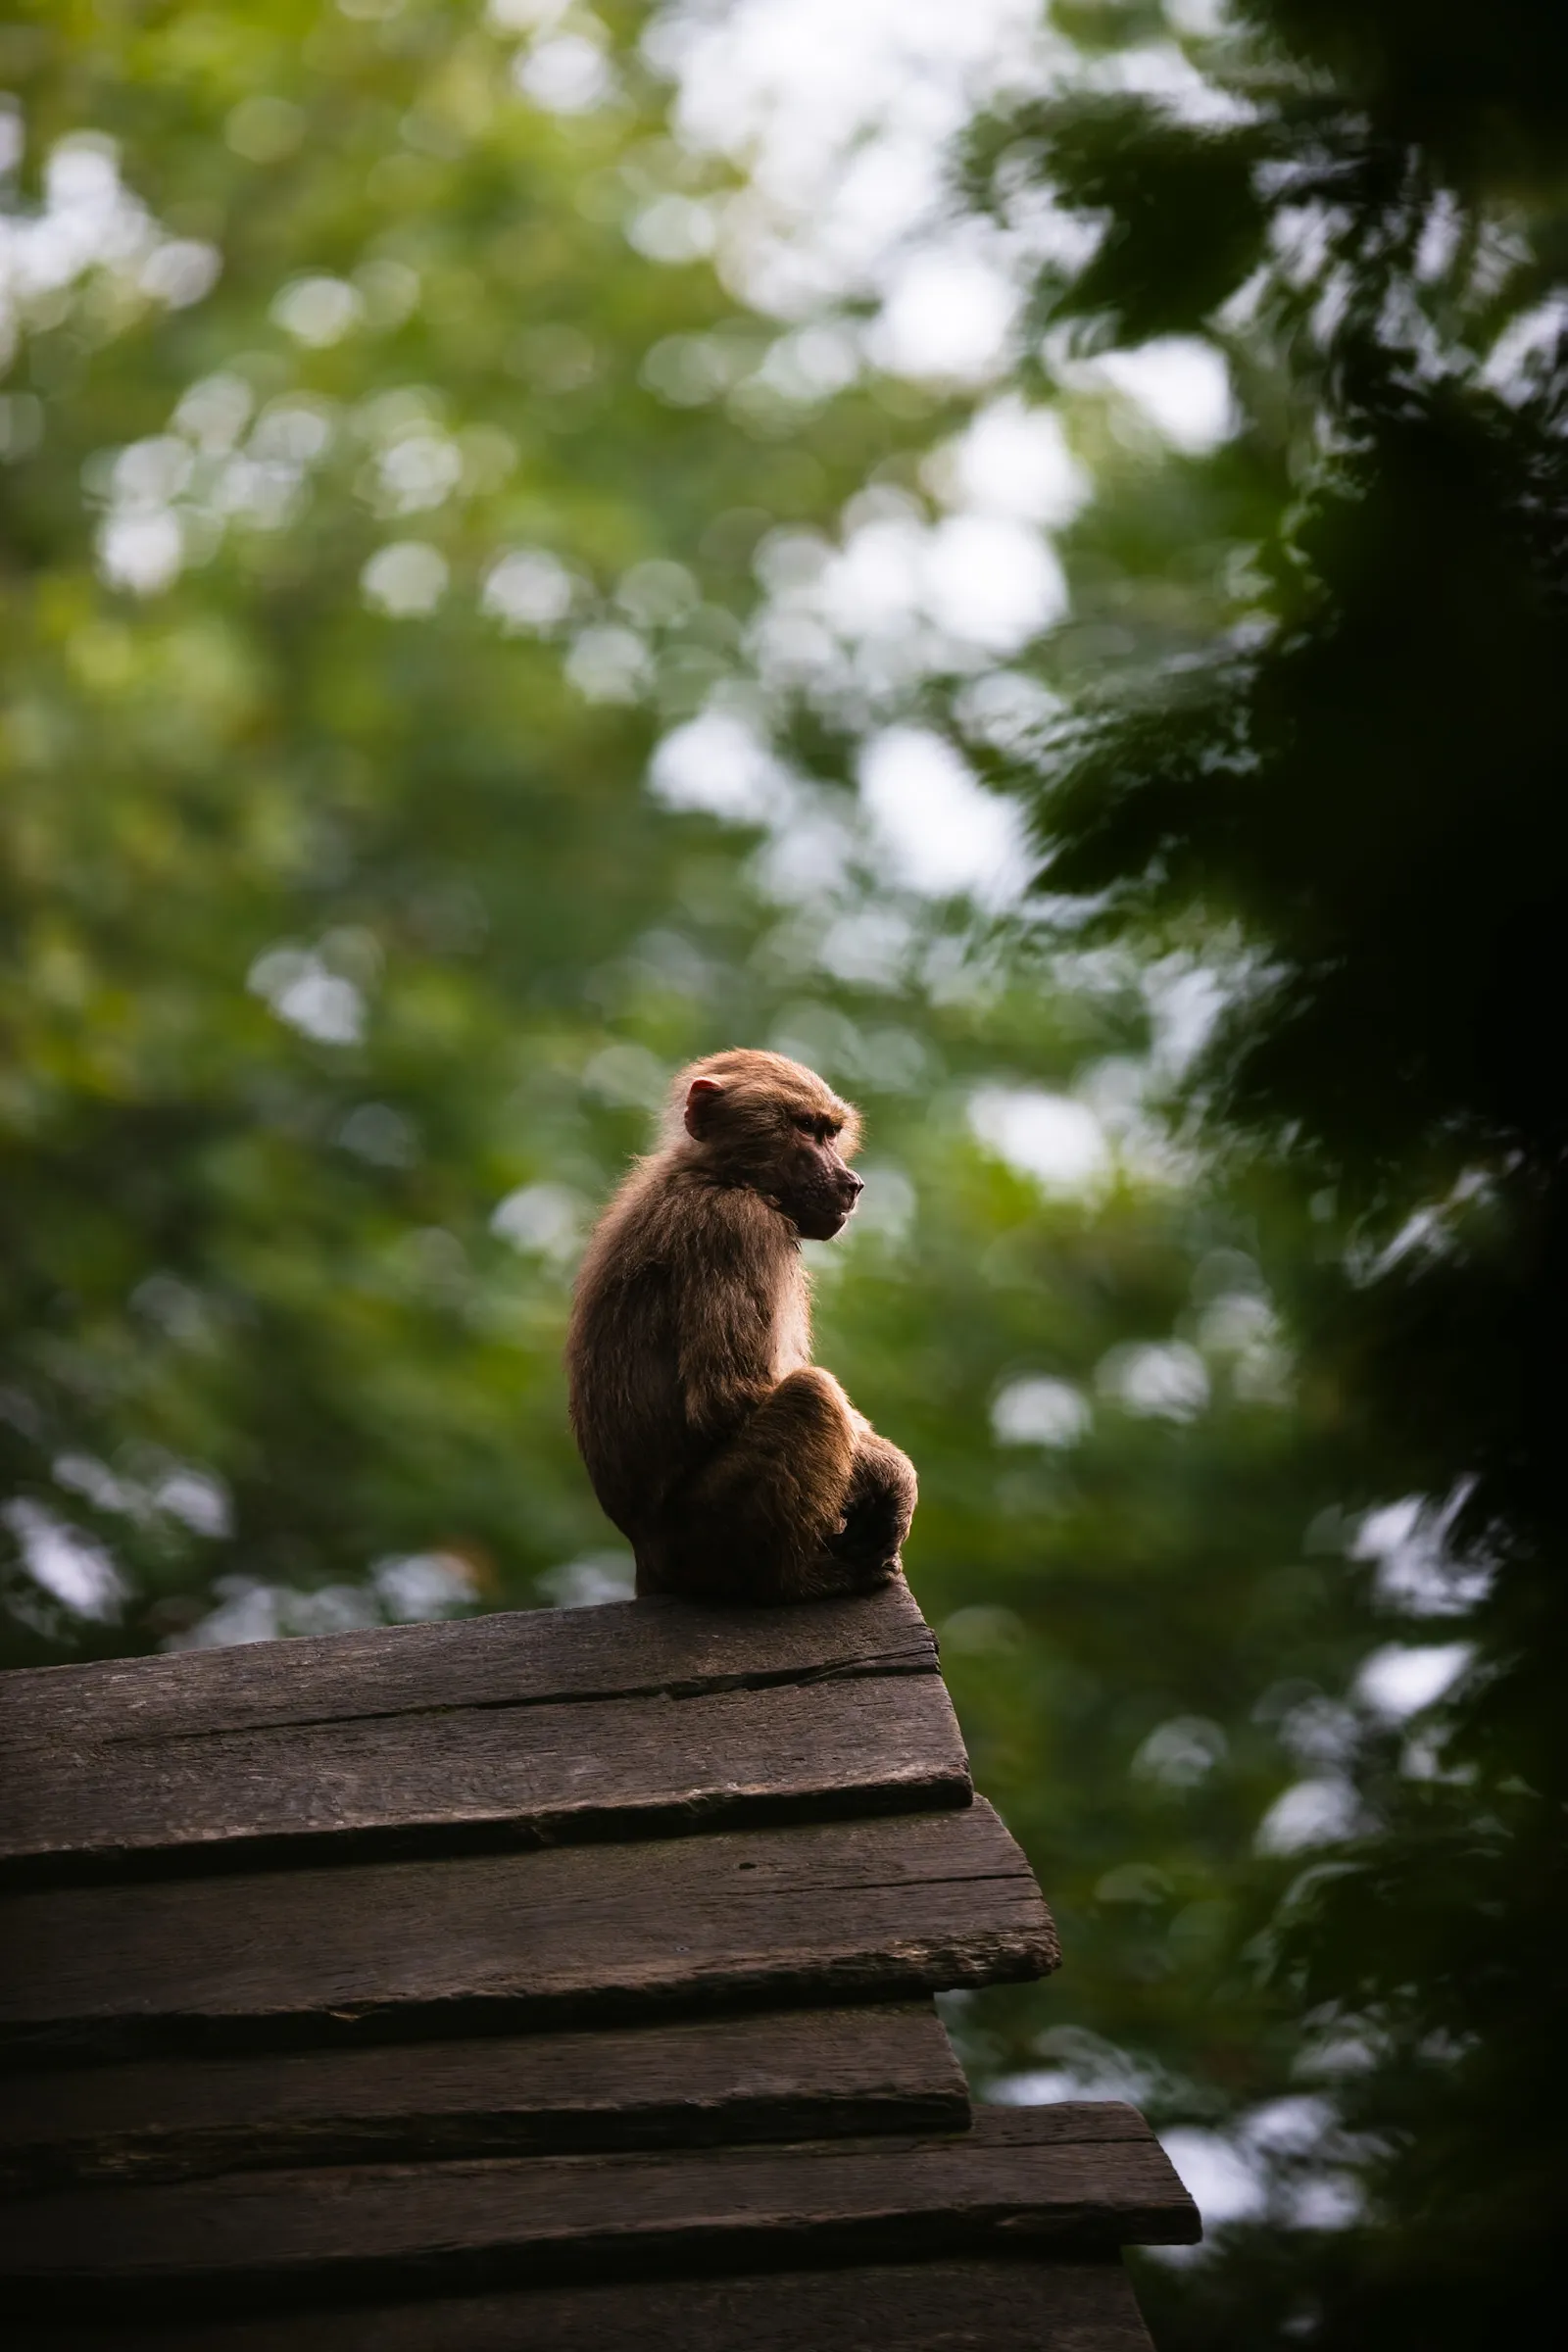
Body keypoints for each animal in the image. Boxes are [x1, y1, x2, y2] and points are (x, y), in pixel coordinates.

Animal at [566, 1048, 917, 1605]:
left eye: (831, 1132)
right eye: (804, 1127)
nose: (852, 1183)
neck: (719, 1177)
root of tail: (644, 1553)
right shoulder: (735, 1227)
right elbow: (730, 1396)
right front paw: (891, 1475)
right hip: (702, 1535)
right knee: (812, 1396)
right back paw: (798, 1581)